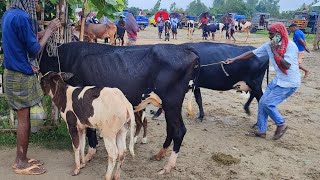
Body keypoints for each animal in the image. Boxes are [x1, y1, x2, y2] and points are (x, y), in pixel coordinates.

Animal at [40, 41, 200, 174]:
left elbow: (89, 132)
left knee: (178, 131)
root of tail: (185, 48)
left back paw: (168, 166)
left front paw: (88, 155)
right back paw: (159, 154)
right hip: (169, 106)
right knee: (171, 129)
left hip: (172, 102)